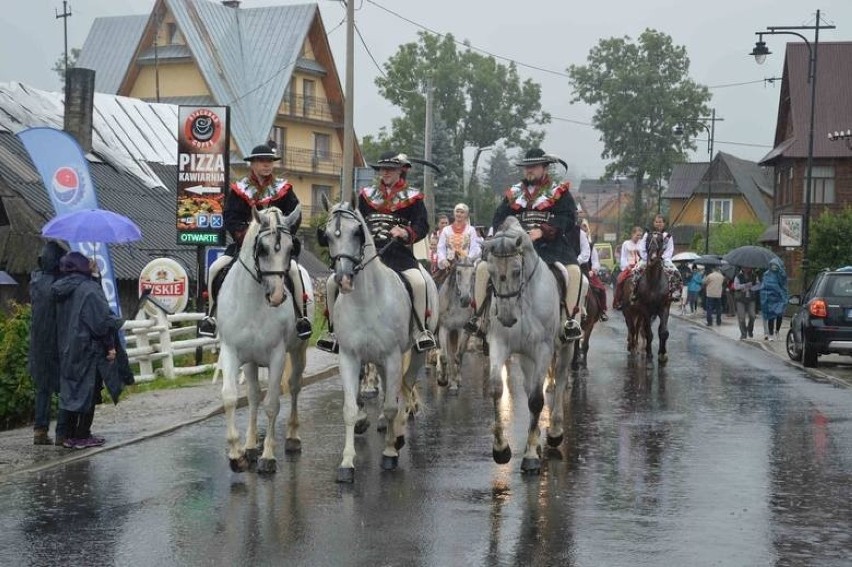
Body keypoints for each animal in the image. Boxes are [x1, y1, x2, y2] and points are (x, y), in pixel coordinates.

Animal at [215, 206, 308, 472]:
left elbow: (272, 403)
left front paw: (267, 456)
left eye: (290, 248)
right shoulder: (231, 351)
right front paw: (237, 454)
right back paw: (249, 444)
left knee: (295, 386)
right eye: (262, 249)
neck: (253, 301)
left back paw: (292, 437)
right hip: (251, 362)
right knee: (254, 396)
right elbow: (231, 398)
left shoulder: (277, 356)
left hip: (298, 351)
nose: (276, 296)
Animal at [322, 199, 440, 484]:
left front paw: (389, 452)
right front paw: (347, 463)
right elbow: (350, 409)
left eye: (357, 233)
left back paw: (397, 434)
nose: (343, 279)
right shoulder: (350, 357)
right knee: (390, 388)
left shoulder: (393, 356)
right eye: (327, 235)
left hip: (414, 354)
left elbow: (389, 406)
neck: (365, 301)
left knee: (403, 387)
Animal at [436, 258, 476, 394]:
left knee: (458, 353)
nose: (466, 299)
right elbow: (444, 356)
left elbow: (458, 355)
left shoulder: (462, 329)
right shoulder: (444, 329)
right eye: (458, 272)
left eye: (473, 273)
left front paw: (455, 382)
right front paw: (442, 379)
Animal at [486, 217, 572, 474]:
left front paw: (531, 455)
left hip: (564, 348)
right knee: (528, 384)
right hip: (525, 357)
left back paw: (554, 432)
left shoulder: (543, 349)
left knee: (560, 380)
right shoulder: (499, 344)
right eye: (490, 272)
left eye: (516, 271)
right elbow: (496, 388)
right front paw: (501, 449)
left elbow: (536, 400)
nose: (506, 317)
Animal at [620, 232, 672, 362]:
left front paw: (662, 354)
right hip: (630, 311)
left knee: (637, 328)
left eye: (661, 240)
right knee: (633, 328)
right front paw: (649, 353)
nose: (652, 258)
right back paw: (633, 346)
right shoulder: (645, 310)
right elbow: (648, 332)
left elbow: (663, 332)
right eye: (648, 240)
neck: (654, 283)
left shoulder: (664, 307)